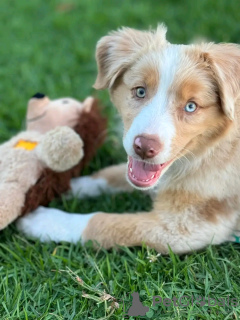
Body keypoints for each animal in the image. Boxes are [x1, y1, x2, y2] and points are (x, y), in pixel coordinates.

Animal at [17, 25, 240, 254]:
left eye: (191, 106)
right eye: (140, 91)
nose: (144, 147)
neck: (208, 151)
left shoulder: (187, 227)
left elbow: (105, 224)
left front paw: (42, 220)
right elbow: (112, 174)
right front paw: (67, 186)